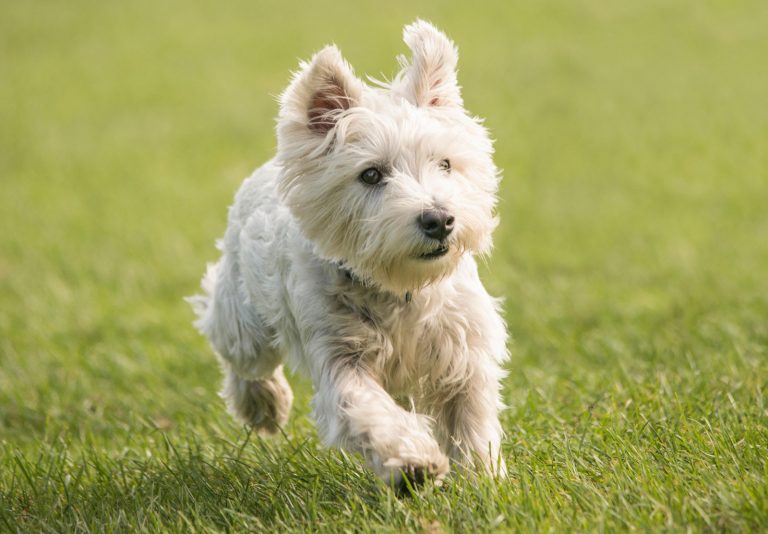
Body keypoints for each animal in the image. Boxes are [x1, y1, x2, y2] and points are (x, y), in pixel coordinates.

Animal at [189, 19, 508, 490]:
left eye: (446, 164)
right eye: (371, 174)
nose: (439, 220)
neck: (400, 288)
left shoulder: (464, 350)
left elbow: (471, 420)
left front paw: (484, 479)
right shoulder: (340, 355)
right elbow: (368, 409)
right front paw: (413, 461)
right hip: (243, 317)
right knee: (235, 346)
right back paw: (265, 406)